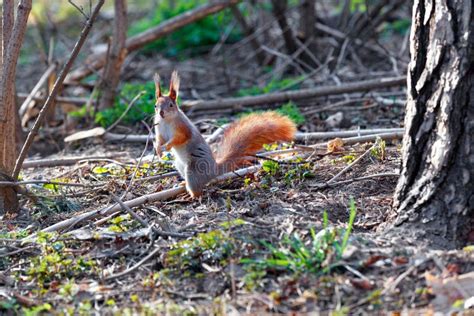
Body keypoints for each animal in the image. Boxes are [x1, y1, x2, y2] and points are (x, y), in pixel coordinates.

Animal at [154, 71, 296, 198]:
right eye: (155, 105)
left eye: (171, 105)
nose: (161, 113)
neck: (167, 120)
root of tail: (214, 170)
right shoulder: (159, 130)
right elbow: (160, 139)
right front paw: (158, 149)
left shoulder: (183, 128)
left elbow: (180, 138)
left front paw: (168, 146)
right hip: (180, 165)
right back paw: (183, 184)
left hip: (194, 170)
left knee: (197, 188)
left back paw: (192, 196)